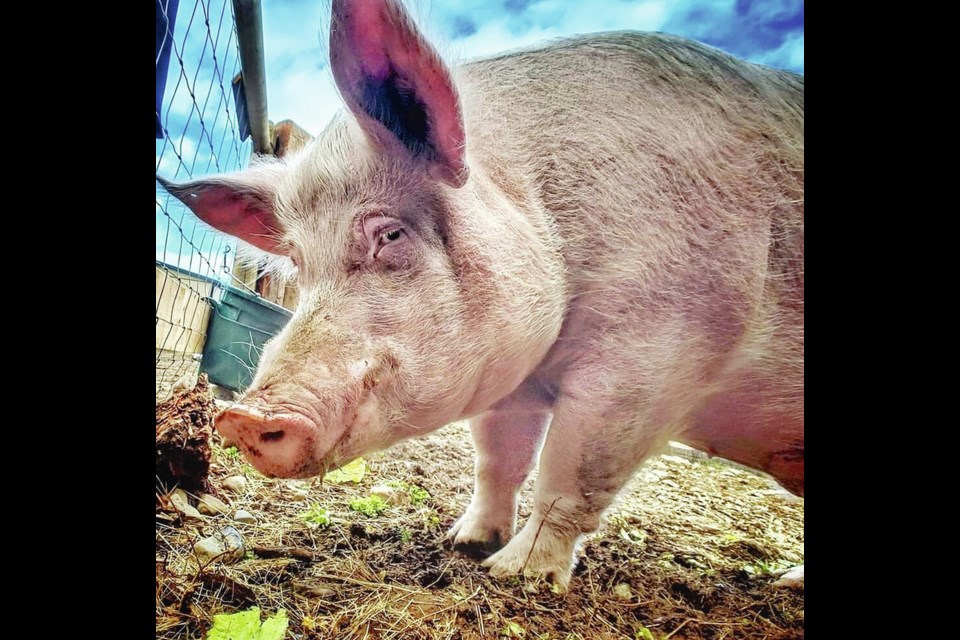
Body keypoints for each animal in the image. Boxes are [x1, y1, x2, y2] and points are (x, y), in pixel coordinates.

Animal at [158, 0, 804, 592]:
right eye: (298, 260)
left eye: (390, 234)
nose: (244, 416)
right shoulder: (511, 382)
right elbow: (499, 460)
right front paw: (465, 543)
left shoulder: (661, 351)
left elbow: (570, 472)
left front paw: (517, 575)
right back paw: (784, 582)